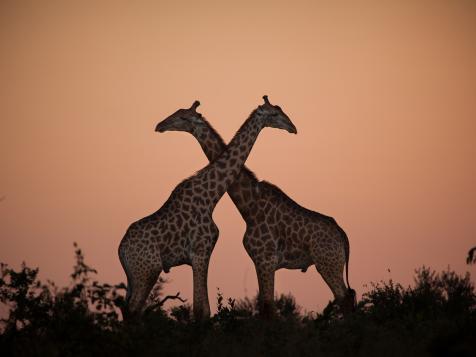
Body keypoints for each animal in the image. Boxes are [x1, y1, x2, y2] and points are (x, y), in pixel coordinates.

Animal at [118, 95, 298, 320]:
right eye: (274, 113)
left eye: (182, 115)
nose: (293, 127)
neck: (210, 197)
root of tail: (121, 250)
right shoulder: (199, 250)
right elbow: (201, 311)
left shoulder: (203, 251)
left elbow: (203, 310)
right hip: (147, 270)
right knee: (133, 310)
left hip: (134, 276)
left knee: (128, 310)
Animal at [158, 96, 356, 316]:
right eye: (177, 114)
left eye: (183, 117)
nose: (160, 125)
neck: (249, 206)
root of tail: (343, 237)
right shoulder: (258, 261)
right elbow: (264, 306)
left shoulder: (266, 259)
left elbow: (268, 308)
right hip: (332, 264)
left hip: (328, 263)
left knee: (345, 298)